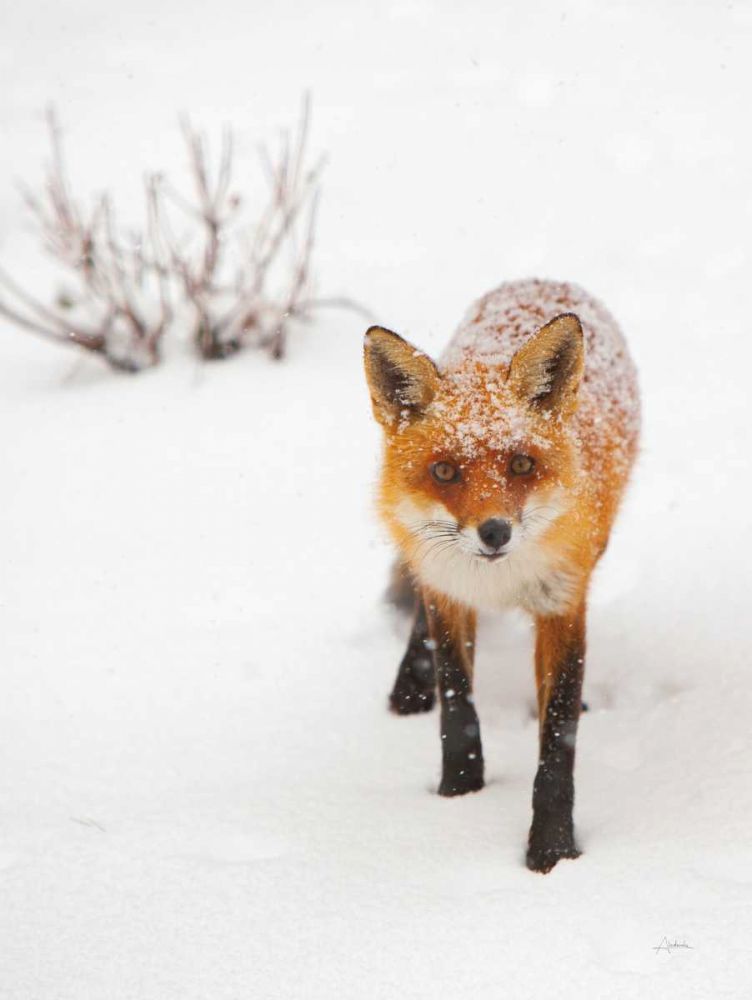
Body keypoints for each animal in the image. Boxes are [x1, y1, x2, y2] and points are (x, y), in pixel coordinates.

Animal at [363, 278, 640, 873]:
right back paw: (408, 687)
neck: (499, 583)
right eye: (445, 471)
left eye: (521, 465)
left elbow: (558, 738)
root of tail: (542, 279)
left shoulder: (563, 601)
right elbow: (456, 704)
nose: (494, 533)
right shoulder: (449, 594)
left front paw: (553, 849)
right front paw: (459, 793)